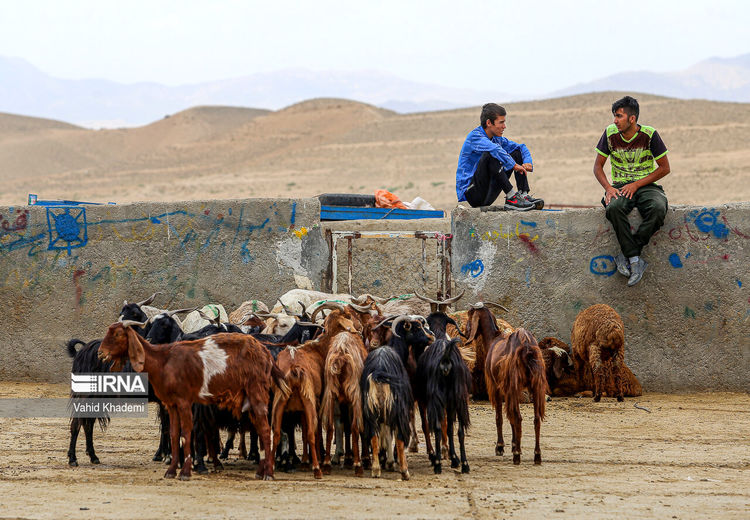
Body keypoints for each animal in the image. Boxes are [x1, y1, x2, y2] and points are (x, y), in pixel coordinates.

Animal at [98, 322, 286, 482]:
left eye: (117, 334)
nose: (100, 353)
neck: (164, 361)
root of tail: (265, 352)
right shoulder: (171, 404)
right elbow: (174, 434)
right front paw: (171, 471)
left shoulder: (184, 401)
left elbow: (186, 433)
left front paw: (186, 471)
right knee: (261, 431)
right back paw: (261, 471)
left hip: (257, 393)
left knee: (266, 430)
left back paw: (269, 474)